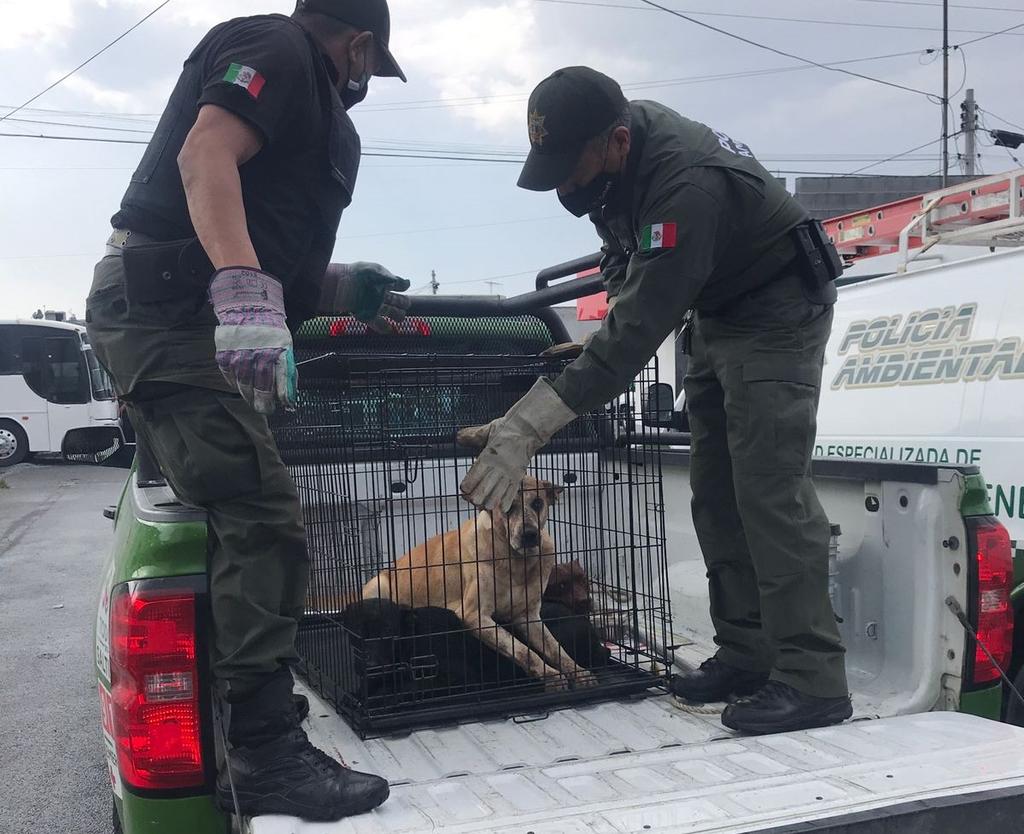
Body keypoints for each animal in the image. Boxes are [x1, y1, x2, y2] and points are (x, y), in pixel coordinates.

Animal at [362, 477, 598, 692]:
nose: (529, 535)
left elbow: (555, 648)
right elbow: (523, 651)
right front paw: (551, 677)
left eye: (537, 503)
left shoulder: (528, 616)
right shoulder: (476, 615)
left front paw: (578, 672)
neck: (516, 562)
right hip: (378, 584)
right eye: (508, 508)